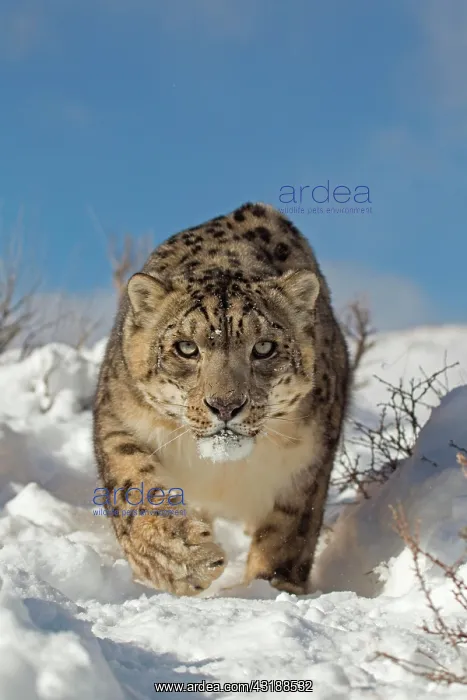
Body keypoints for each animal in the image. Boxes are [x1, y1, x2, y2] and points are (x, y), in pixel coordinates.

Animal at [93, 202, 350, 597]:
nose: (225, 405)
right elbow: (133, 489)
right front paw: (184, 558)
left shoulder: (307, 463)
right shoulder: (119, 419)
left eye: (264, 347)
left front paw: (269, 587)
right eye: (186, 347)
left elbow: (287, 532)